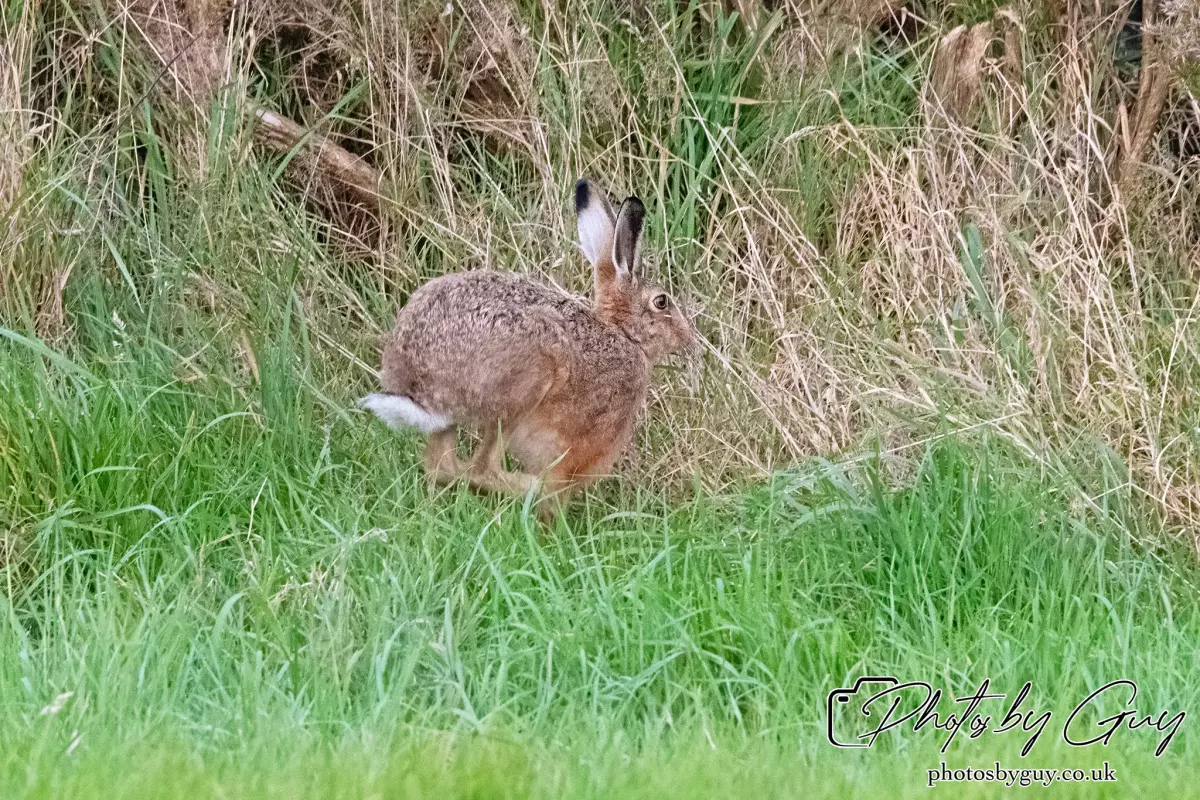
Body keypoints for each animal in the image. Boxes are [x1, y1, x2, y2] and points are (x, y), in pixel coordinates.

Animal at [360, 178, 698, 521]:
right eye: (661, 301)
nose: (688, 337)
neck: (624, 335)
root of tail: (413, 385)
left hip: (455, 418)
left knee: (441, 465)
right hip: (526, 385)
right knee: (481, 468)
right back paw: (532, 490)